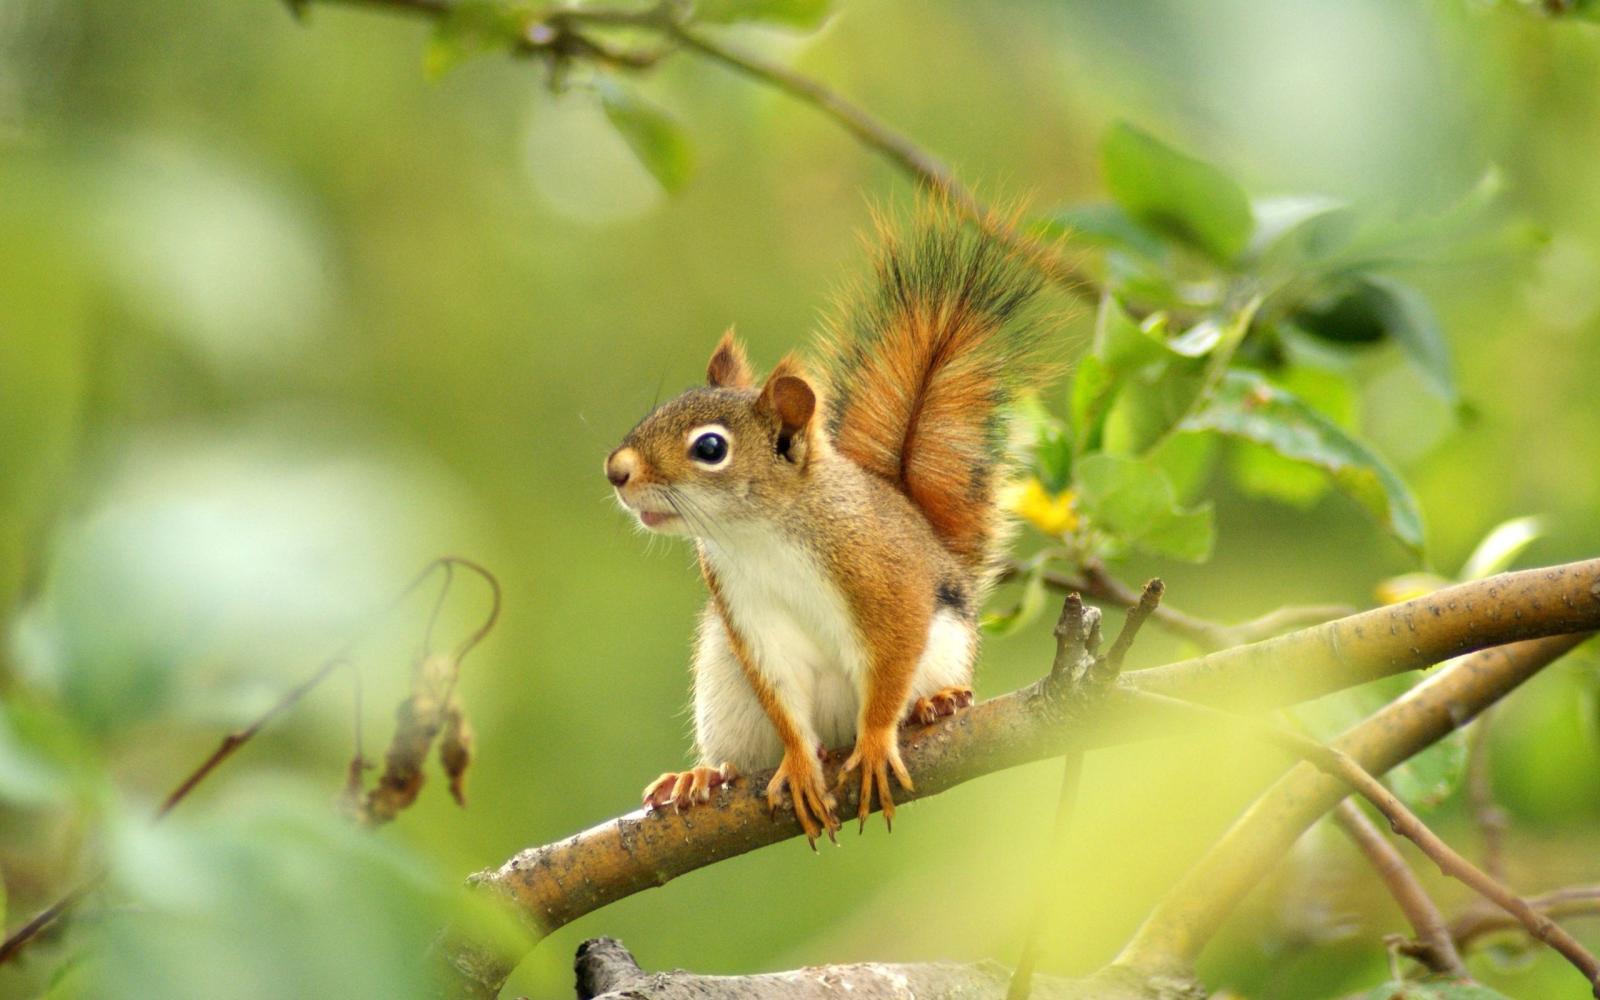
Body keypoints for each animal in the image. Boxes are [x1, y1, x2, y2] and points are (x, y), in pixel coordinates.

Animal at [605, 216, 1051, 845]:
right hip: (723, 688)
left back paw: (936, 703)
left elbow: (890, 662)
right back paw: (702, 775)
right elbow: (783, 696)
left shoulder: (886, 578)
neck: (760, 535)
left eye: (710, 448)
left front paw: (876, 742)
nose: (616, 470)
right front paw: (797, 763)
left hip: (944, 646)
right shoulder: (748, 614)